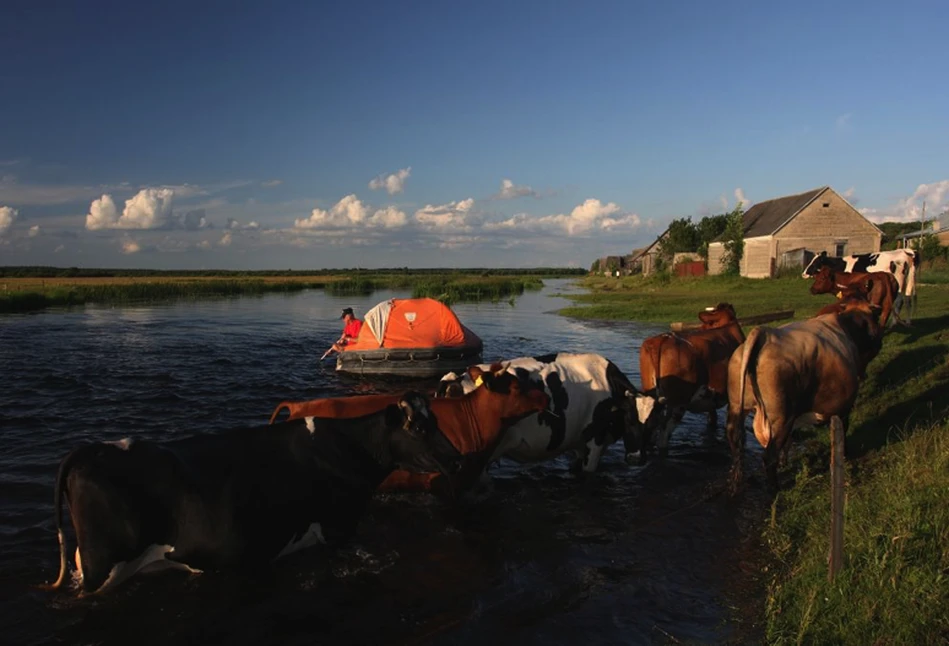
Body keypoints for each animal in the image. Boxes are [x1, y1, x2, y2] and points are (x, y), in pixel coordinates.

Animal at [39, 390, 462, 596]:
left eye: (437, 421)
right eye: (418, 427)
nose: (456, 459)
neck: (348, 447)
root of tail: (90, 450)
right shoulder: (339, 528)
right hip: (102, 569)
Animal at [432, 354, 660, 476]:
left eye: (652, 424)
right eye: (629, 418)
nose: (637, 459)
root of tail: (456, 380)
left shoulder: (579, 444)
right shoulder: (594, 442)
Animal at [724, 302, 884, 494]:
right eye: (875, 318)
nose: (879, 340)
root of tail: (765, 333)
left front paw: (785, 462)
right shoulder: (844, 407)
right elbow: (843, 431)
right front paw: (845, 453)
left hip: (737, 407)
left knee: (735, 441)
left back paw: (735, 484)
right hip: (781, 417)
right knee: (769, 456)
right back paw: (775, 489)